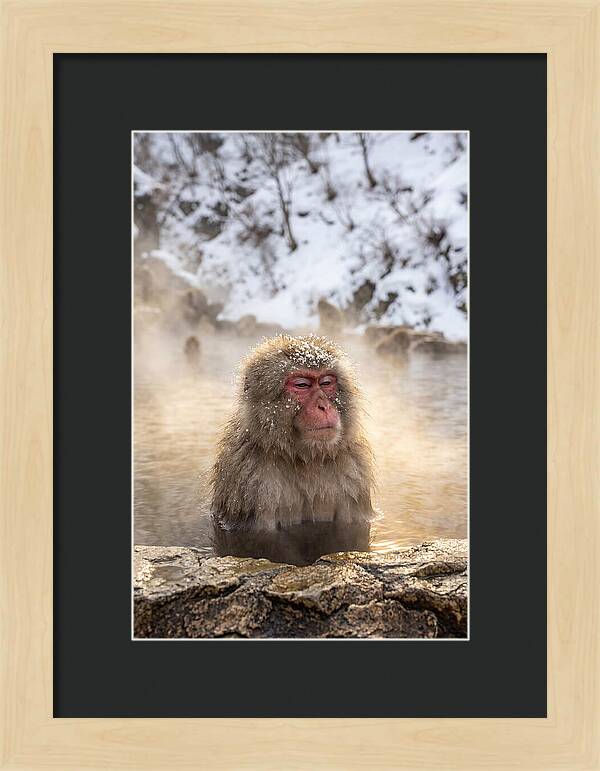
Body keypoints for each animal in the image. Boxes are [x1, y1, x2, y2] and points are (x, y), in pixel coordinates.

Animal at [210, 335, 377, 562]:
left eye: (326, 382)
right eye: (301, 385)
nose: (324, 406)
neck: (305, 458)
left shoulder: (354, 472)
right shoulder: (249, 479)